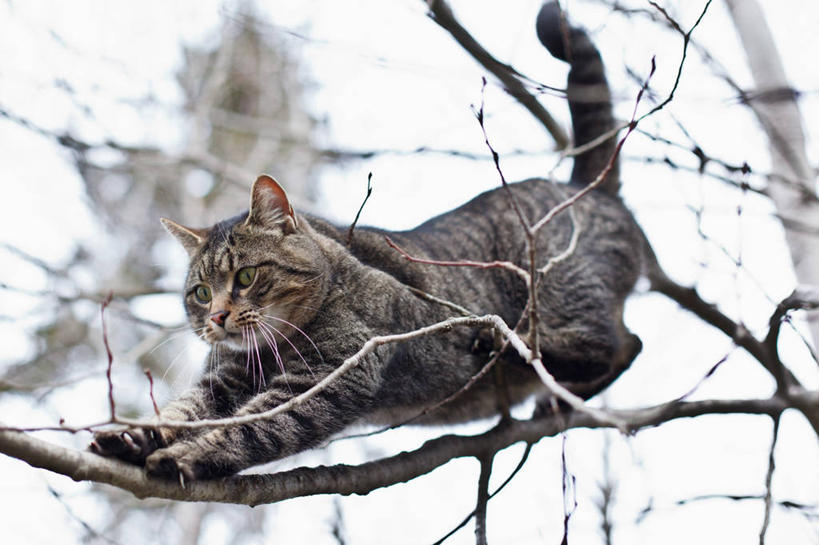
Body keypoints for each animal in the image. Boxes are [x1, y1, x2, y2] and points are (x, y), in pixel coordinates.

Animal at [86, 3, 644, 480]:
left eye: (244, 276)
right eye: (201, 293)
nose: (219, 316)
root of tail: (584, 186)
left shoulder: (331, 377)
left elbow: (256, 427)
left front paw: (190, 456)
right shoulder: (223, 379)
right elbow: (184, 411)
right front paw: (136, 437)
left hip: (556, 291)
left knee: (616, 344)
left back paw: (512, 350)